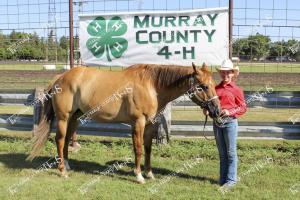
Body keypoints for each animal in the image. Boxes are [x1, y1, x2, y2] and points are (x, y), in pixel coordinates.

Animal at [27, 63, 220, 184]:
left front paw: (150, 174)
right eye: (203, 86)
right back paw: (62, 171)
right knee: (59, 140)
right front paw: (139, 176)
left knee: (67, 140)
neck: (152, 86)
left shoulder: (150, 125)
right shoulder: (138, 123)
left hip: (74, 117)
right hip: (63, 117)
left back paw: (67, 165)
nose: (217, 110)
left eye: (213, 84)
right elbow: (138, 149)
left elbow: (148, 150)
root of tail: (60, 77)